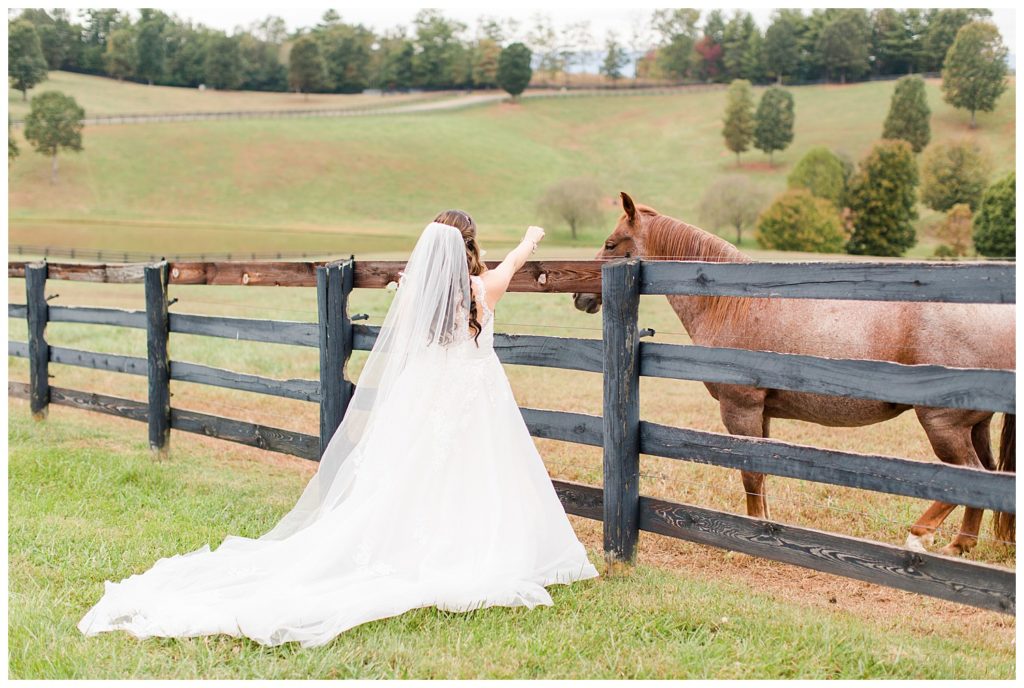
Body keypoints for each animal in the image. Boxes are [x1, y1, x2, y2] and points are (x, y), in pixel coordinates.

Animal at [577, 190, 1015, 556]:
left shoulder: (741, 410)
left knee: (969, 477)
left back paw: (920, 536)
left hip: (943, 425)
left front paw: (749, 539)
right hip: (973, 427)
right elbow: (762, 477)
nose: (580, 295)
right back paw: (960, 545)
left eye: (612, 244)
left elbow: (751, 475)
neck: (731, 302)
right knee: (987, 479)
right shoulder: (763, 415)